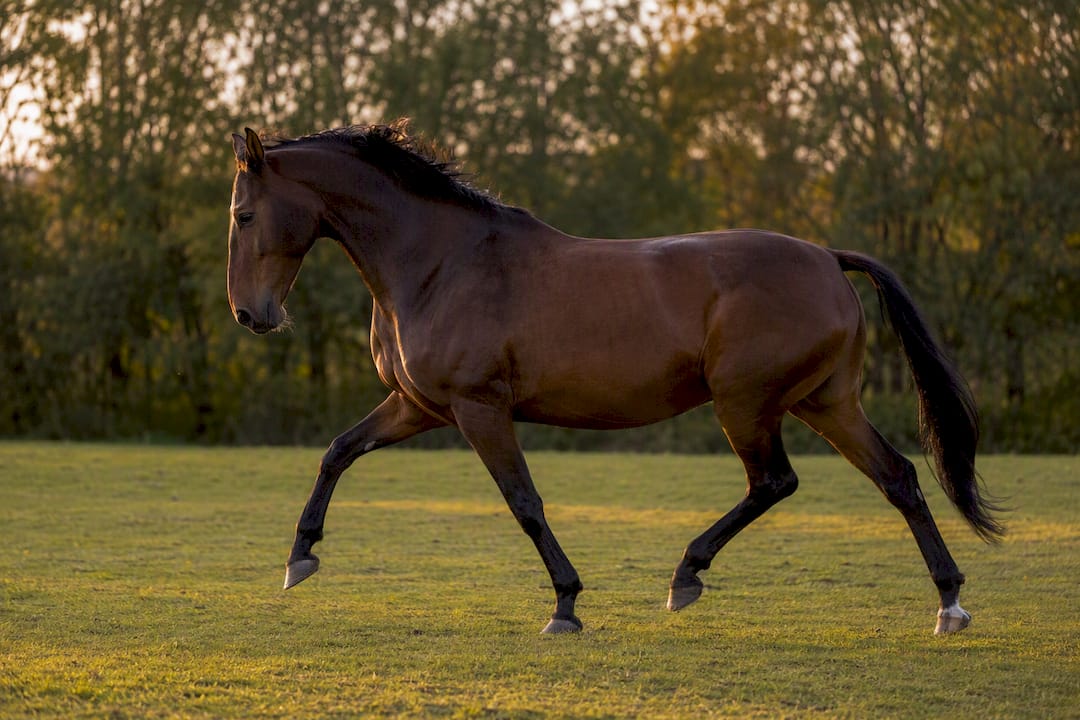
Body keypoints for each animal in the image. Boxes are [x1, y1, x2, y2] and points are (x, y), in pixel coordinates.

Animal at [227, 122, 1003, 635]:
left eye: (243, 213)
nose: (250, 315)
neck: (440, 263)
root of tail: (826, 258)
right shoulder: (418, 406)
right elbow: (338, 451)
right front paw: (300, 557)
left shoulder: (479, 410)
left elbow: (524, 503)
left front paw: (566, 606)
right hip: (825, 401)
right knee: (898, 477)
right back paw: (949, 602)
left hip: (747, 404)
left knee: (775, 482)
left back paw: (686, 575)